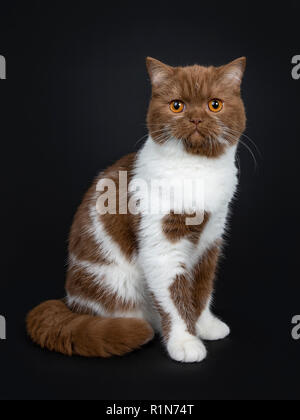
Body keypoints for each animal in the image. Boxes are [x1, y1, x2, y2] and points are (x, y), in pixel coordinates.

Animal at [27, 56, 246, 364]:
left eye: (214, 104)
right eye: (177, 105)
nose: (195, 118)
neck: (196, 170)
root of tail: (70, 302)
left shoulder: (210, 238)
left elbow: (201, 287)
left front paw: (205, 325)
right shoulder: (162, 245)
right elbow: (175, 295)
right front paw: (185, 342)